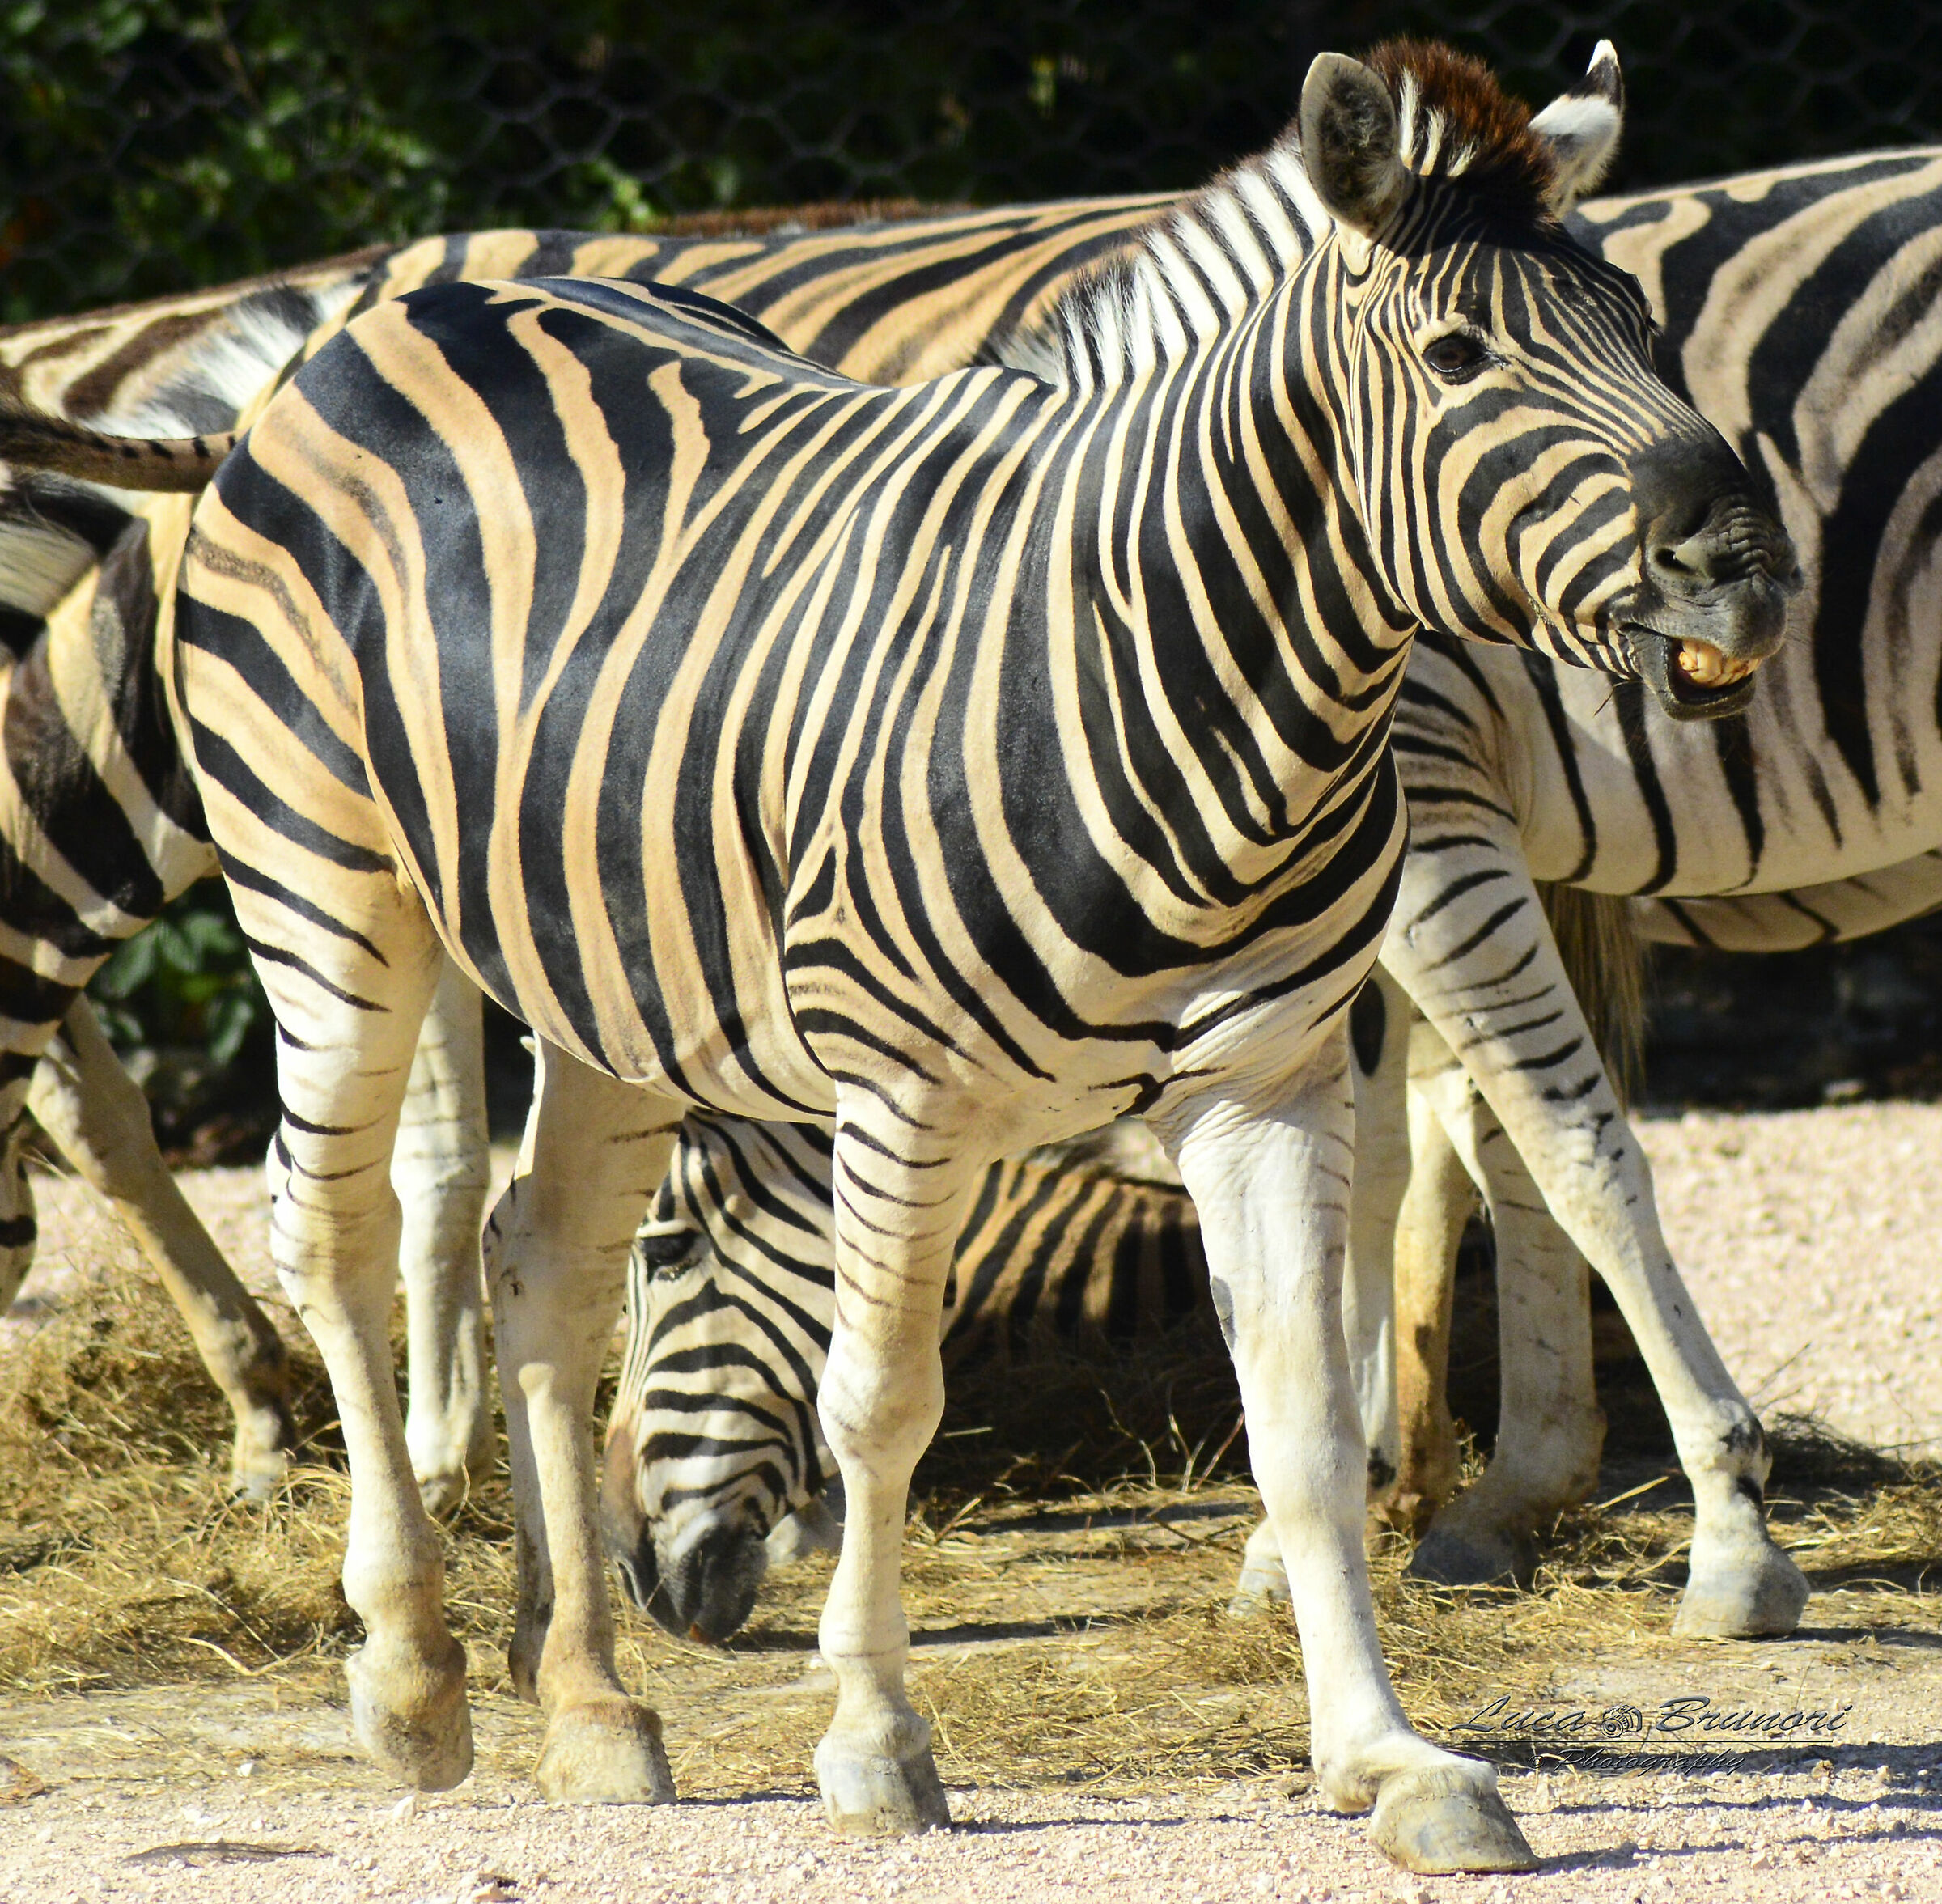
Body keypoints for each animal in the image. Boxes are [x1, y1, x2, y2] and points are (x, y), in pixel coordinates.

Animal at [21, 39, 1793, 1867]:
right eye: (1455, 357)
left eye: (1643, 330)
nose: (1745, 566)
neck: (1191, 672)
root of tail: (373, 321)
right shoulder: (903, 1088)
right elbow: (880, 1405)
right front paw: (875, 1740)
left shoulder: (1267, 1081)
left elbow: (1300, 1418)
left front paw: (1388, 1757)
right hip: (326, 890)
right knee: (339, 1229)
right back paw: (412, 1672)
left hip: (603, 973)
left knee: (545, 1258)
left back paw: (587, 1697)